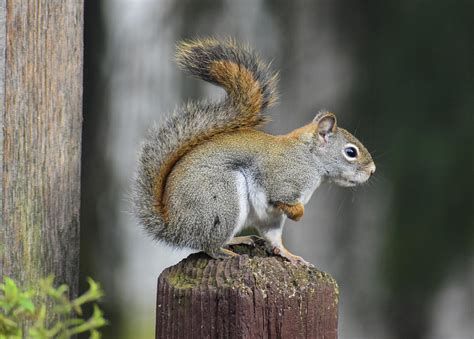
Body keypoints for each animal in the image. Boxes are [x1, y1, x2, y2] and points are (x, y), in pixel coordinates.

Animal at [132, 37, 374, 266]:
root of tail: (174, 226)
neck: (309, 157)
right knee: (209, 246)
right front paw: (298, 213)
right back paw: (226, 251)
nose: (372, 170)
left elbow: (274, 237)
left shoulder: (272, 217)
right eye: (351, 152)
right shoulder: (282, 182)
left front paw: (289, 254)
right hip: (222, 201)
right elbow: (281, 198)